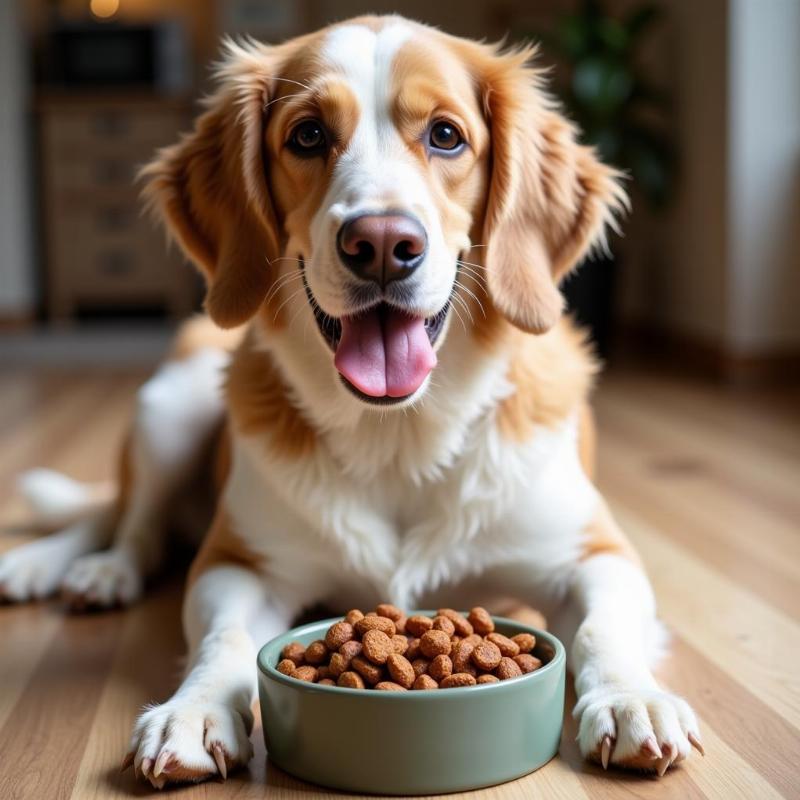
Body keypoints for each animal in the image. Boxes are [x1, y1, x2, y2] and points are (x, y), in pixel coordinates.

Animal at [0, 12, 700, 788]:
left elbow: (603, 627)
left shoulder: (595, 553)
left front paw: (633, 697)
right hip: (171, 405)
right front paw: (194, 709)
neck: (398, 433)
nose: (383, 243)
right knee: (129, 520)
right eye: (307, 135)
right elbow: (224, 639)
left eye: (446, 135)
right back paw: (86, 567)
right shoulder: (239, 564)